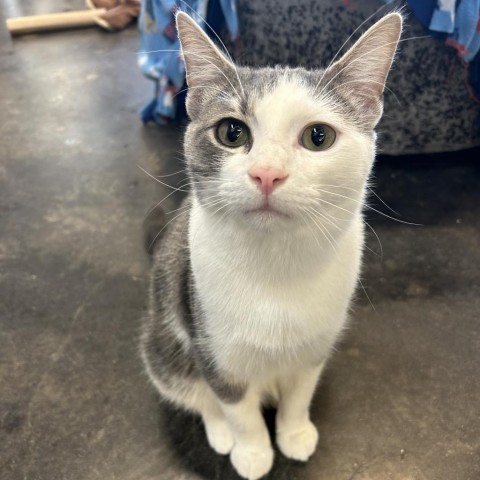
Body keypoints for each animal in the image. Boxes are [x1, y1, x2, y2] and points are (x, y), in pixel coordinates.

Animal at [141, 11, 404, 480]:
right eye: (231, 132)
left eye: (319, 137)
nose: (267, 173)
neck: (277, 261)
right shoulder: (216, 348)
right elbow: (236, 407)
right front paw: (253, 451)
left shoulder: (316, 344)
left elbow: (300, 393)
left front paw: (294, 433)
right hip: (164, 341)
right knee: (194, 393)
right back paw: (219, 433)